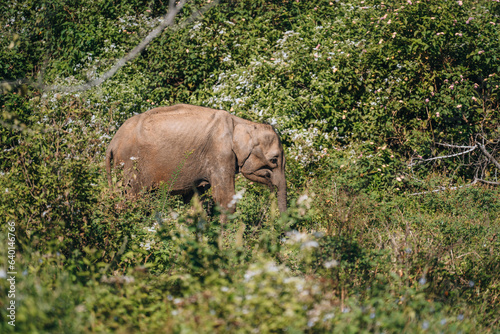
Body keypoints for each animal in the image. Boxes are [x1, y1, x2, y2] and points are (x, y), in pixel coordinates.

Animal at [103, 103, 288, 215]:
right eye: (274, 160)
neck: (243, 123)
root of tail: (112, 143)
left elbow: (195, 201)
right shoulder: (220, 154)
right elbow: (225, 200)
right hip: (130, 164)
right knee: (132, 199)